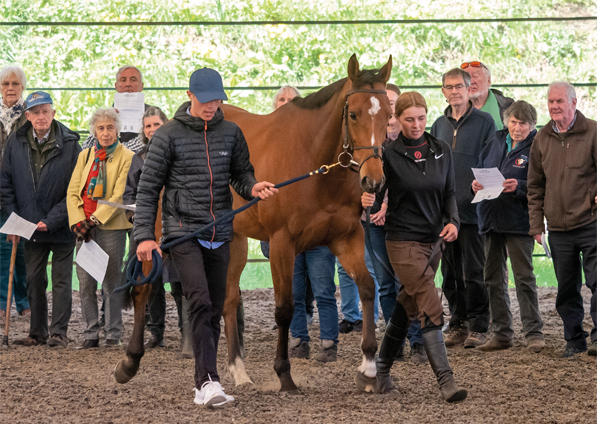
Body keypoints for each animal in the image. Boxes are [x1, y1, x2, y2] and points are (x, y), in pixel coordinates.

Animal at [113, 54, 392, 392]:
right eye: (353, 114)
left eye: (389, 115)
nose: (373, 181)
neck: (313, 162)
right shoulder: (283, 243)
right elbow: (284, 309)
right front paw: (284, 374)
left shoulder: (346, 238)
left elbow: (367, 289)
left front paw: (368, 368)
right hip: (157, 238)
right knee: (142, 290)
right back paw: (129, 362)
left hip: (232, 240)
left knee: (228, 299)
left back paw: (238, 370)